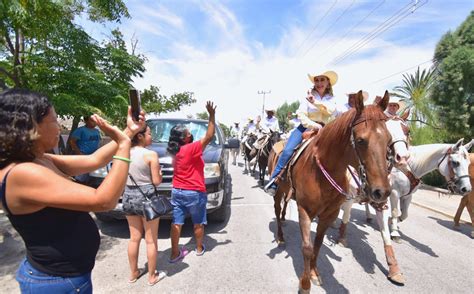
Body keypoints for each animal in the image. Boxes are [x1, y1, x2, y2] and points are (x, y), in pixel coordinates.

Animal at [268, 90, 390, 292]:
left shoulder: (329, 215)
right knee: (277, 210)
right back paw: (280, 237)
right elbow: (307, 248)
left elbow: (317, 245)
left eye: (388, 140)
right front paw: (305, 284)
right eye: (361, 140)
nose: (382, 192)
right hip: (278, 191)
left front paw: (314, 273)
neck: (322, 172)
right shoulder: (305, 211)